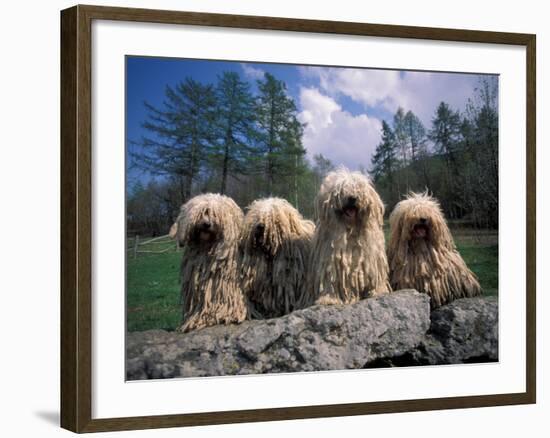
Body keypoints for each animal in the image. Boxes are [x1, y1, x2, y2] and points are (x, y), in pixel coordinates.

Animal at [306, 166, 392, 306]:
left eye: (358, 187)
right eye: (340, 191)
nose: (352, 198)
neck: (350, 229)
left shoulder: (371, 257)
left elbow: (375, 275)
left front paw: (377, 291)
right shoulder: (330, 258)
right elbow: (330, 279)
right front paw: (329, 298)